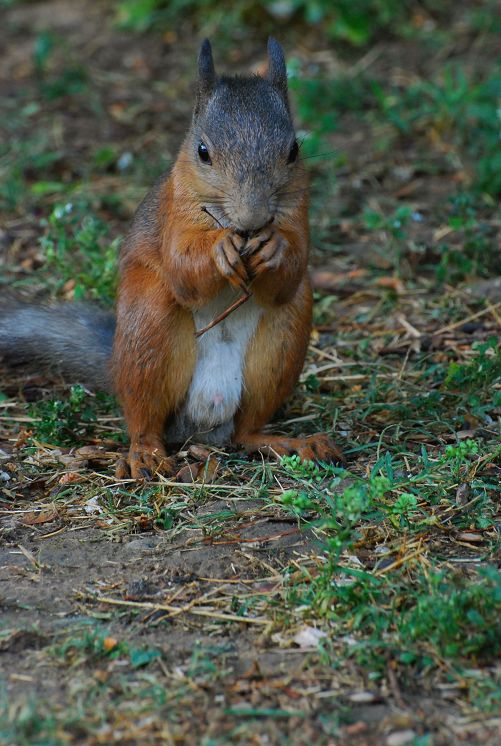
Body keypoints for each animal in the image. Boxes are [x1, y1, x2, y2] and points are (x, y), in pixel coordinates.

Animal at [0, 40, 344, 480]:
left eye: (294, 151)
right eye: (203, 152)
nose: (252, 219)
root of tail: (204, 422)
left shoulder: (298, 210)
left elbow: (293, 268)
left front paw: (274, 247)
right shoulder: (173, 212)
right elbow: (183, 269)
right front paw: (219, 249)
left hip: (284, 342)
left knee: (247, 431)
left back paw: (291, 443)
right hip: (149, 327)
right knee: (144, 418)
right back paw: (145, 453)